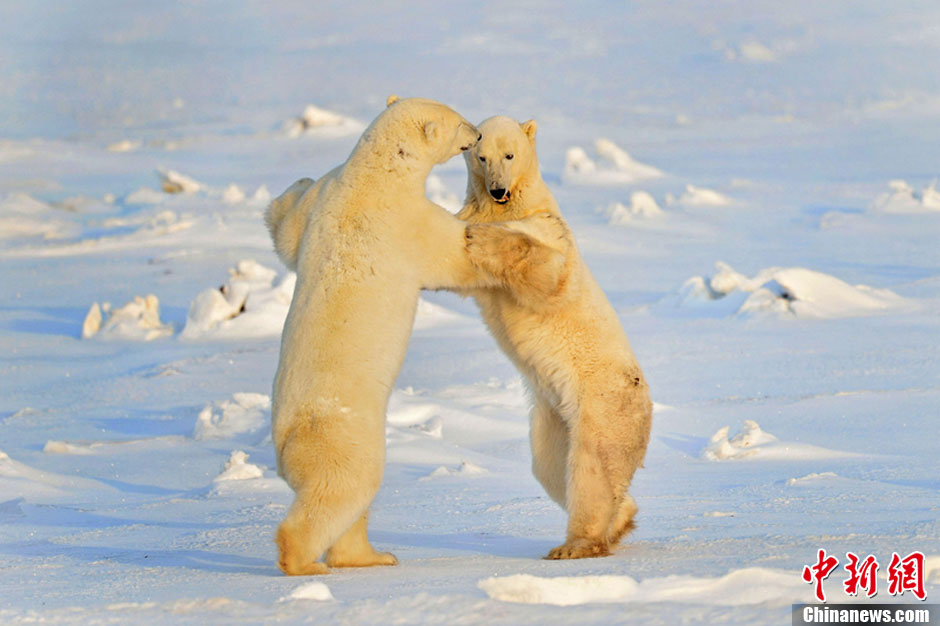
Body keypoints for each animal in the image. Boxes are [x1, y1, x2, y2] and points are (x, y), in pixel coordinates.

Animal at [265, 96, 501, 575]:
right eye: (458, 123)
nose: (479, 134)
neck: (372, 174)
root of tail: (285, 449)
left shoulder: (325, 198)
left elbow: (288, 234)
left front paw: (297, 180)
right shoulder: (405, 220)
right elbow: (452, 255)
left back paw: (371, 556)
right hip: (345, 439)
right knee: (343, 489)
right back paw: (305, 562)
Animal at [457, 115, 653, 559]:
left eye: (510, 154)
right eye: (481, 156)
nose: (498, 191)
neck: (519, 203)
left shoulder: (550, 230)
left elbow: (549, 273)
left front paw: (481, 235)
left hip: (600, 403)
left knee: (592, 467)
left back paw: (578, 544)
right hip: (553, 417)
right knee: (549, 466)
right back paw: (621, 520)